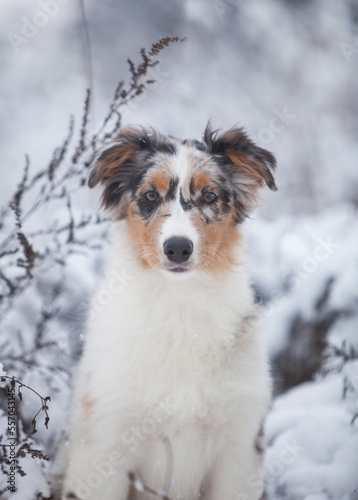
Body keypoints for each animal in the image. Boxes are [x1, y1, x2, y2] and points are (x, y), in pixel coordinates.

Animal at [60, 122, 276, 500]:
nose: (177, 248)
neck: (179, 305)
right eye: (150, 195)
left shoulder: (239, 448)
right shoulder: (103, 443)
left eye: (209, 196)